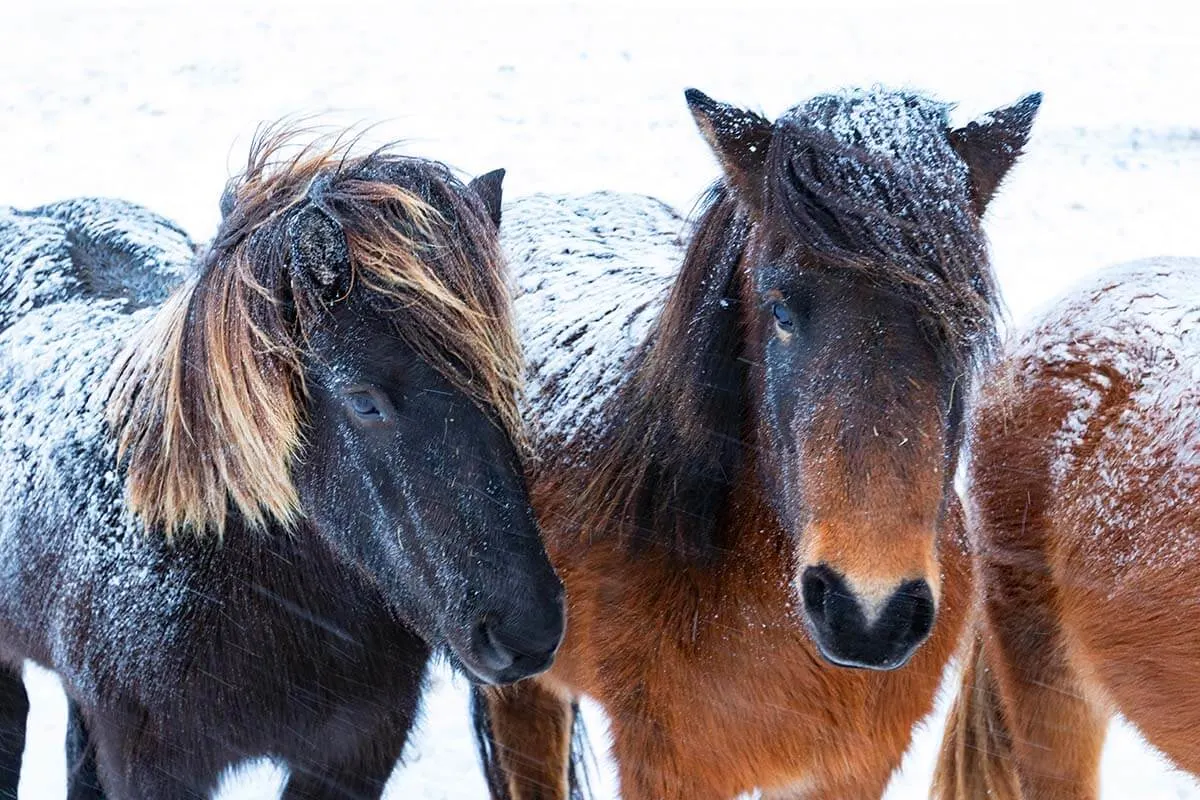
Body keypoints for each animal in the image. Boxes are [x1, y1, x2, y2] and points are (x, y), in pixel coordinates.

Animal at [470, 87, 1041, 800]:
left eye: (960, 324)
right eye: (781, 310)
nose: (868, 615)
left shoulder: (851, 772)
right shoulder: (666, 770)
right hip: (523, 691)